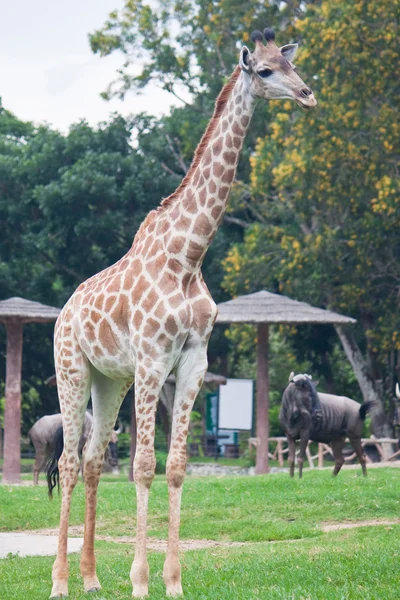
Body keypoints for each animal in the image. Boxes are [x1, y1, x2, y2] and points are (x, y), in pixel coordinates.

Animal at [48, 27, 316, 596]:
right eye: (264, 70)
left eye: (290, 63)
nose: (307, 95)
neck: (188, 255)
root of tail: (64, 311)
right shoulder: (153, 359)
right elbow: (144, 464)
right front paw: (141, 581)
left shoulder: (193, 361)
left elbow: (175, 465)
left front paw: (172, 582)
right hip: (71, 368)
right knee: (68, 459)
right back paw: (60, 581)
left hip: (110, 380)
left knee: (92, 459)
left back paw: (91, 577)